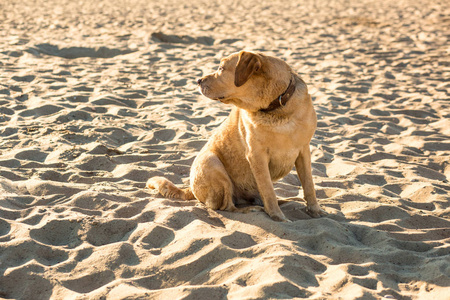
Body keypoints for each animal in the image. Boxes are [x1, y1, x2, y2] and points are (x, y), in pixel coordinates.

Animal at [148, 50, 324, 221]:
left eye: (221, 68)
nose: (198, 80)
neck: (277, 108)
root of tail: (190, 188)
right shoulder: (256, 156)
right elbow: (268, 190)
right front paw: (277, 216)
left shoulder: (304, 151)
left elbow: (309, 185)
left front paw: (315, 211)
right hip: (211, 162)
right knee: (227, 206)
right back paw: (251, 209)